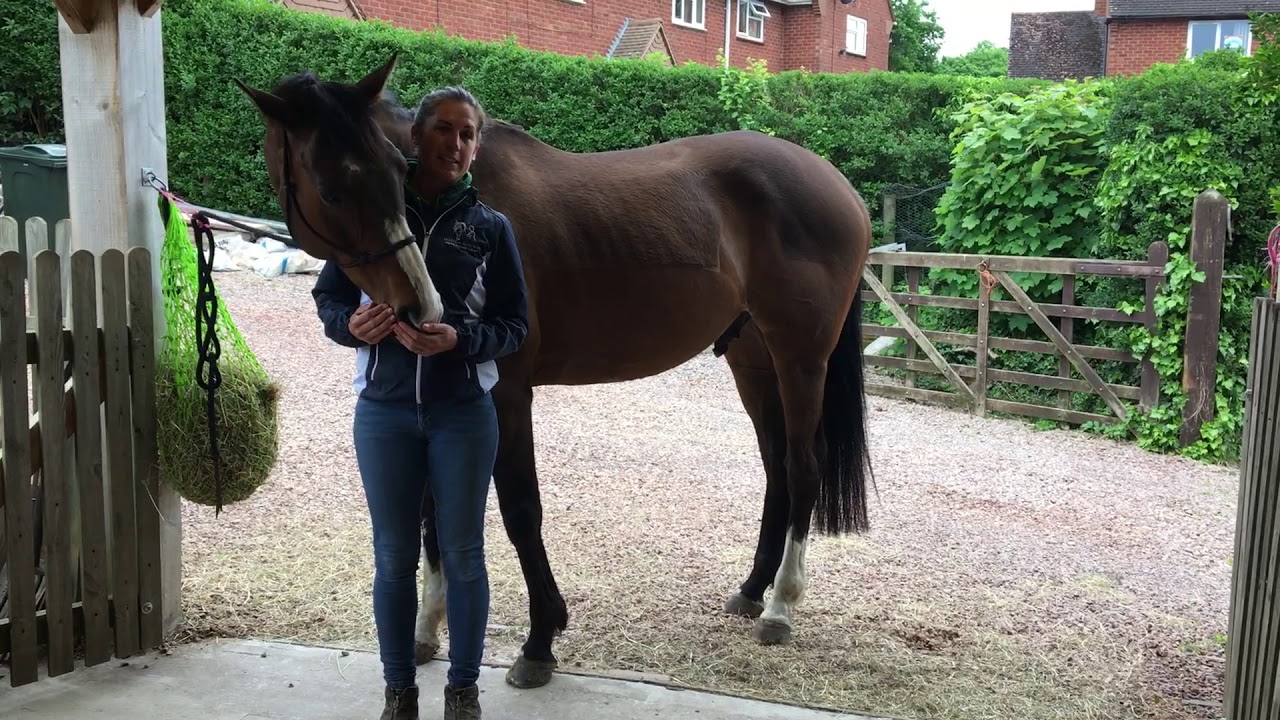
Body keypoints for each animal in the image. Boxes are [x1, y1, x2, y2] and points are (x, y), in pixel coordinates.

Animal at [235, 54, 876, 689]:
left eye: (393, 170)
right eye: (332, 188)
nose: (421, 306)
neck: (456, 202)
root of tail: (839, 185)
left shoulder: (507, 396)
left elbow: (521, 511)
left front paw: (540, 639)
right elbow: (433, 515)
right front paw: (426, 627)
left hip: (800, 360)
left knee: (805, 467)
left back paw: (780, 607)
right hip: (753, 362)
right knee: (777, 468)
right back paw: (751, 590)